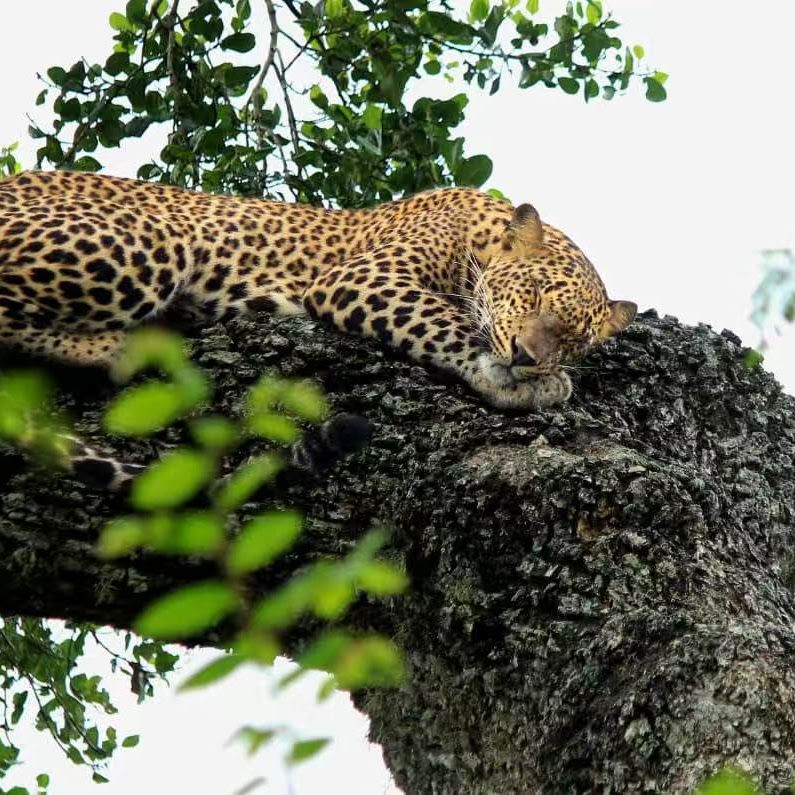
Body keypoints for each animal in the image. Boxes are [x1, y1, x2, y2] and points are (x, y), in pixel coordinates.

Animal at [0, 169, 636, 414]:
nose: (529, 357)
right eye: (535, 293)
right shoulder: (366, 277)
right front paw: (522, 382)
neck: (477, 229)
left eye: (576, 342)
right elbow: (445, 321)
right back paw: (109, 348)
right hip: (155, 241)